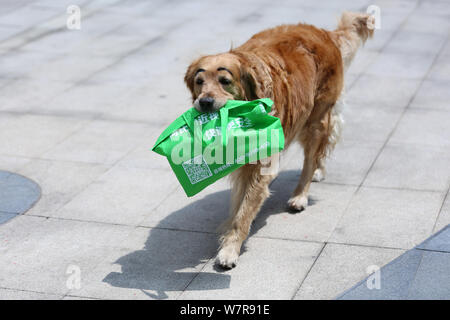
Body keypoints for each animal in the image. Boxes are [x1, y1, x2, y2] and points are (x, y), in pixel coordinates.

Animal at [185, 11, 374, 268]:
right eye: (199, 81)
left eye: (225, 81)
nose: (204, 102)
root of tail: (324, 33)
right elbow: (240, 203)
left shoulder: (259, 164)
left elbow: (244, 211)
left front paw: (230, 249)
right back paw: (318, 170)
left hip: (316, 118)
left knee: (312, 155)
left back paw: (300, 195)